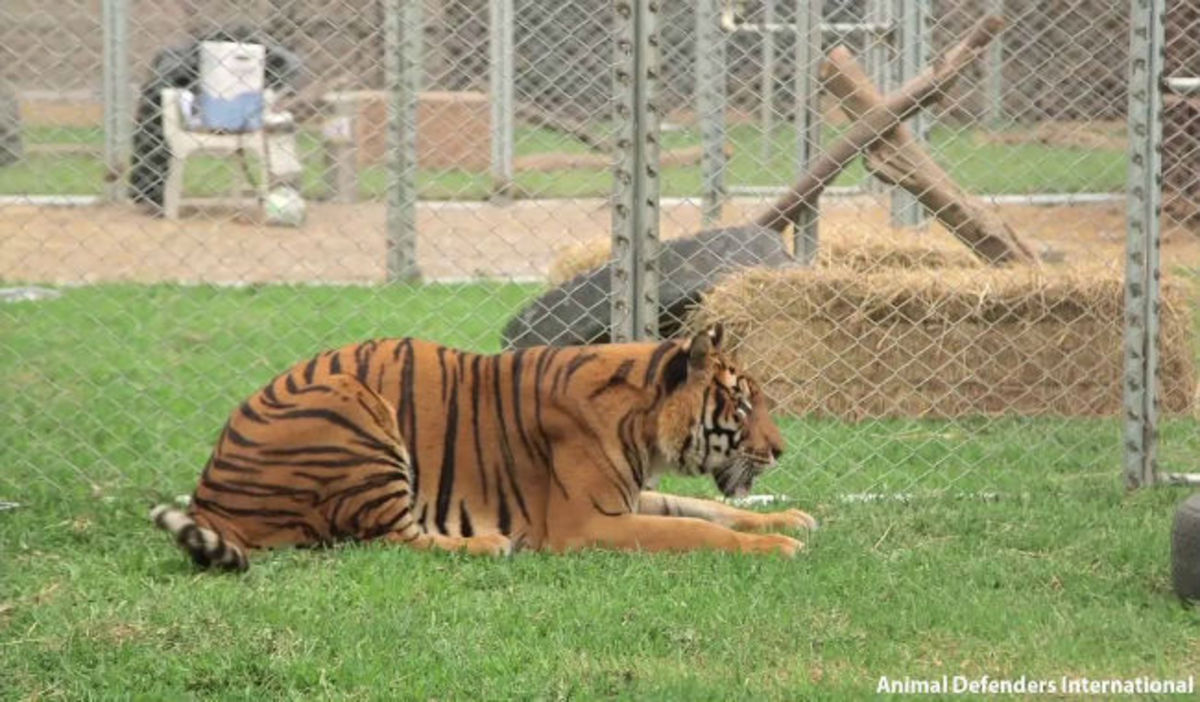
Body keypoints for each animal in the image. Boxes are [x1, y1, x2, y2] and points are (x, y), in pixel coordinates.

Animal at [150, 324, 816, 568]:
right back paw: (490, 542)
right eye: (744, 406)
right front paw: (780, 545)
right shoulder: (587, 523)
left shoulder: (630, 498)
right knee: (390, 535)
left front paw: (791, 518)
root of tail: (209, 491)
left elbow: (710, 509)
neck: (644, 425)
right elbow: (699, 528)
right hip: (355, 406)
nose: (783, 450)